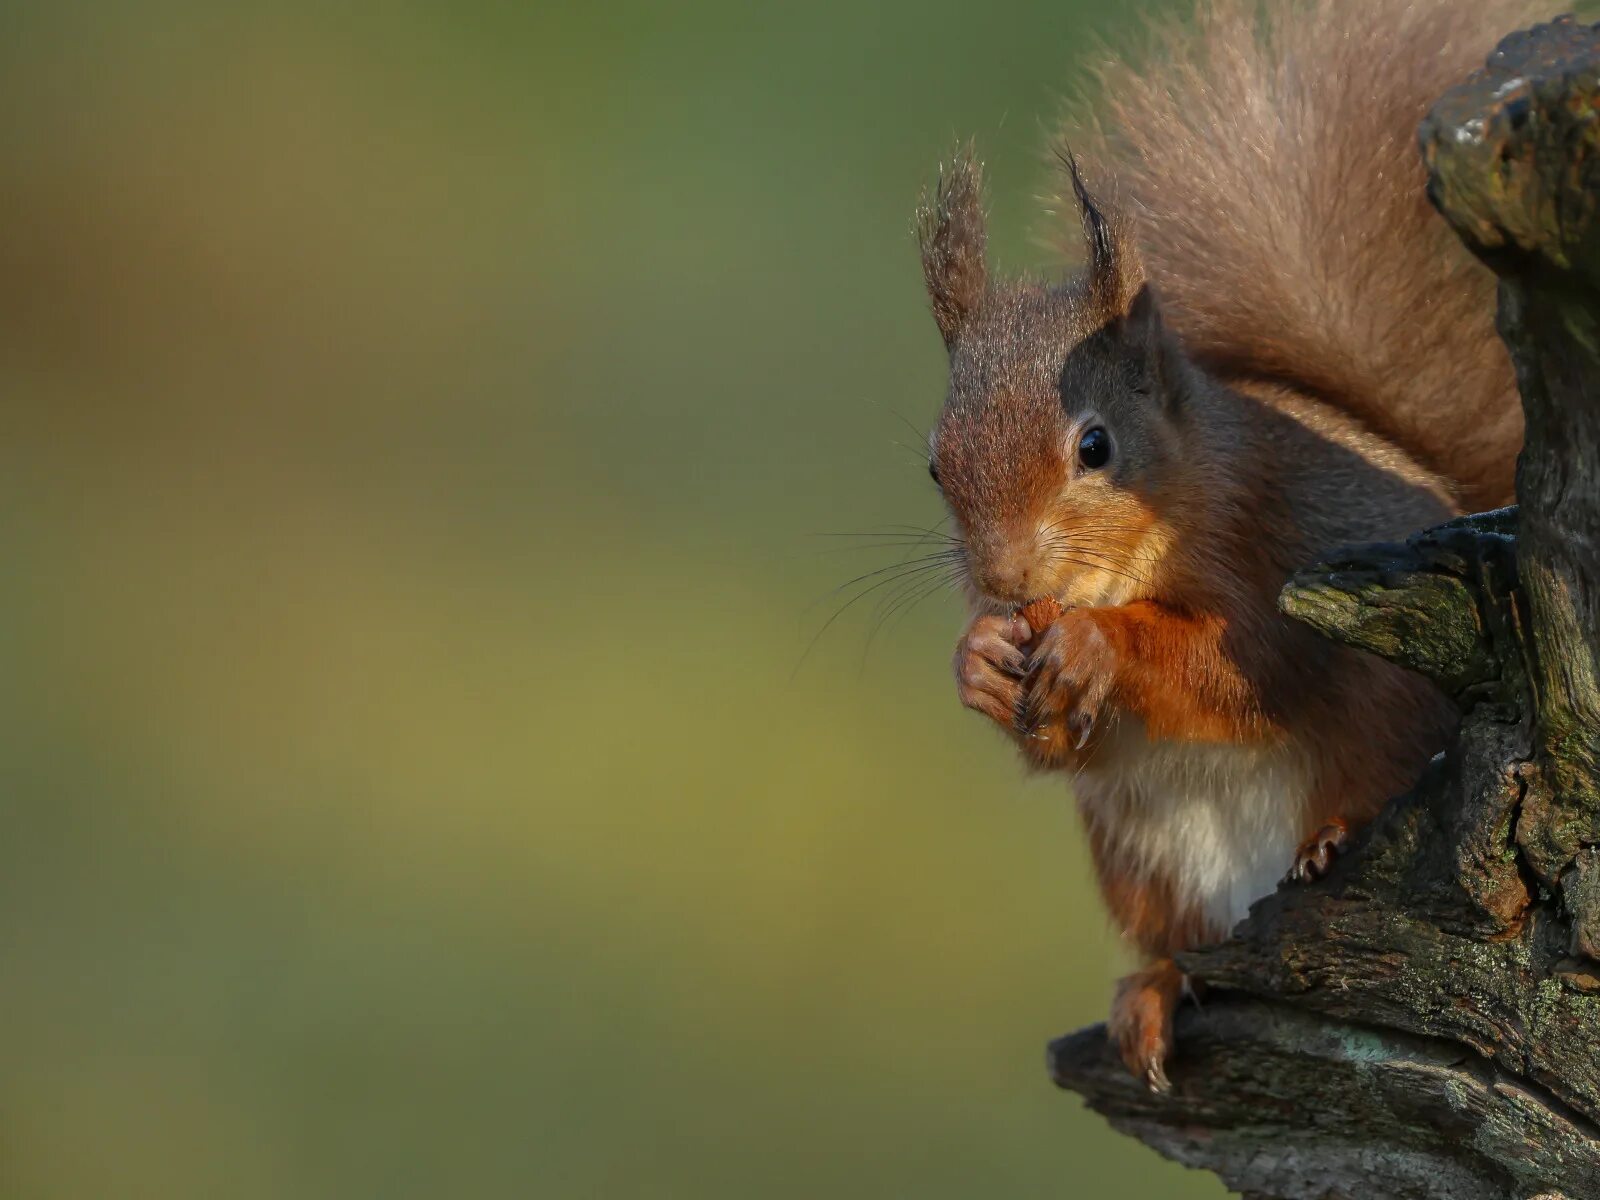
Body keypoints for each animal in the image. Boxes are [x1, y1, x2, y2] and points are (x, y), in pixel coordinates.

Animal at [921, 0, 1542, 1094]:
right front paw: (980, 661)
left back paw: (1330, 837)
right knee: (1188, 953)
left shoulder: (1273, 551)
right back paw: (1156, 993)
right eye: (933, 467)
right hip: (1144, 864)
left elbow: (1243, 666)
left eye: (1095, 446)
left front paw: (1103, 645)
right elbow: (1067, 741)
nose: (1001, 578)